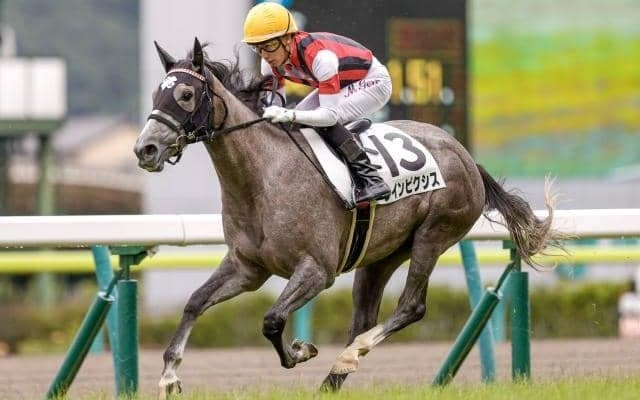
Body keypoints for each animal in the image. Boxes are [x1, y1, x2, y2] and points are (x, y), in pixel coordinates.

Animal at [134, 38, 560, 396]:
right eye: (156, 93)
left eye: (186, 94)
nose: (145, 149)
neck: (263, 177)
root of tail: (465, 155)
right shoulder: (247, 268)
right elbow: (195, 302)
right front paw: (169, 377)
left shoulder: (317, 269)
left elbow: (272, 319)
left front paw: (301, 351)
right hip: (380, 255)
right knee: (364, 319)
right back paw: (334, 378)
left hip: (433, 235)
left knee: (411, 307)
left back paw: (347, 357)